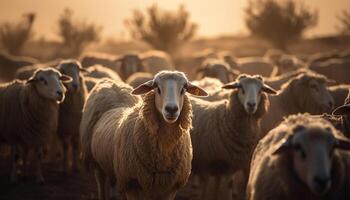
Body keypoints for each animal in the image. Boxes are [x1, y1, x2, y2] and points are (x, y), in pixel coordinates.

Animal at [79, 71, 208, 199]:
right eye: (157, 88)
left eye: (183, 89)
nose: (171, 109)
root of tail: (111, 84)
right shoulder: (132, 184)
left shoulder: (170, 188)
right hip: (97, 164)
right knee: (101, 185)